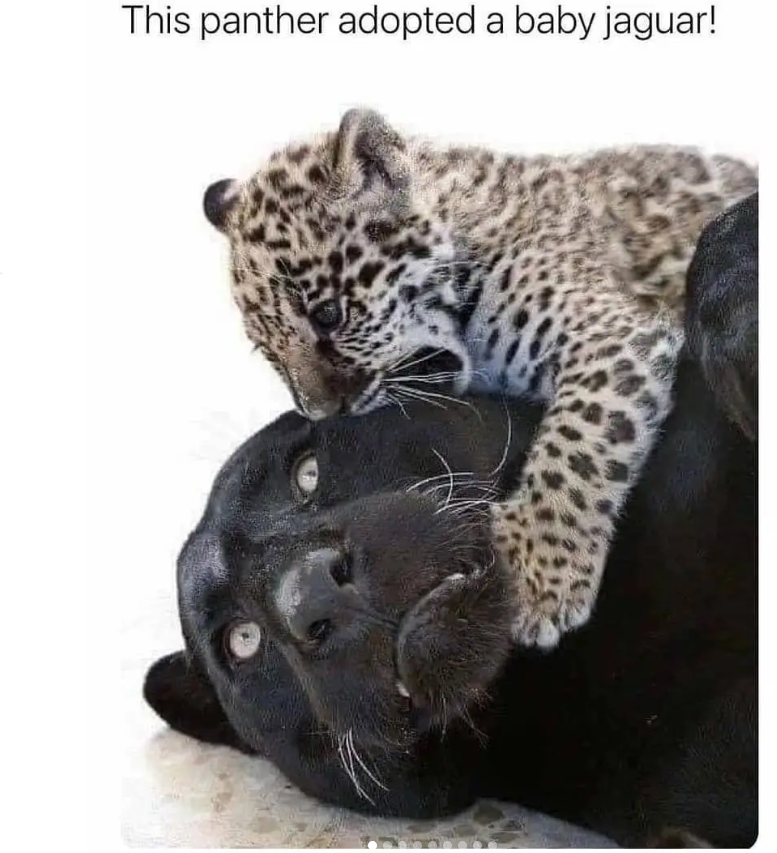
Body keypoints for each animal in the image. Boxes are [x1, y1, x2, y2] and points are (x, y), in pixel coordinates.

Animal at [202, 108, 757, 648]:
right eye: (270, 353)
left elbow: (575, 442)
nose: (322, 412)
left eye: (328, 314)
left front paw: (536, 577)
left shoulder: (609, 330)